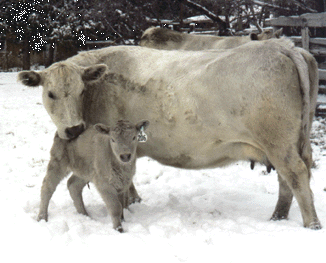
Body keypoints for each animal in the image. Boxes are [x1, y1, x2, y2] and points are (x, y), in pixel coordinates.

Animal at [18, 38, 320, 230]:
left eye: (81, 91)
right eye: (50, 93)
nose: (74, 129)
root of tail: (282, 46)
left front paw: (128, 205)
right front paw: (134, 201)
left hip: (278, 142)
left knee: (295, 174)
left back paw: (311, 224)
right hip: (290, 143)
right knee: (288, 179)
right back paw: (278, 218)